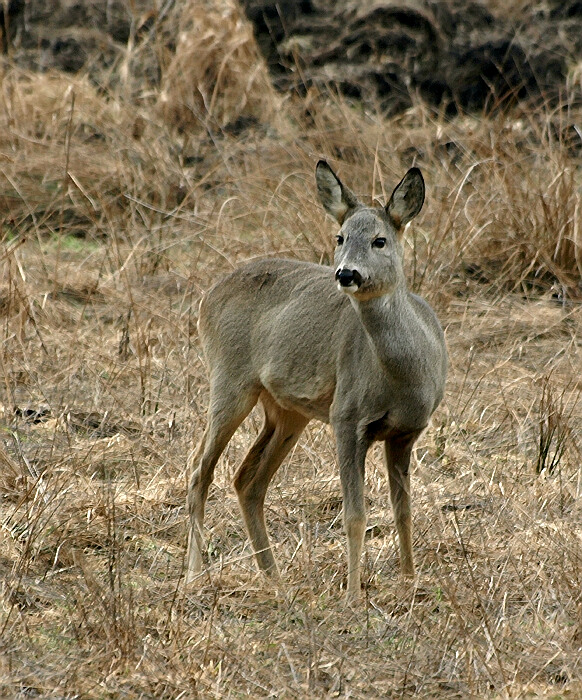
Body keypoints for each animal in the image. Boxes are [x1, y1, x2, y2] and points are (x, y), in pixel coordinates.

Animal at [186, 160, 448, 600]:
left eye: (379, 240)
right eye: (340, 237)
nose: (345, 274)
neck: (405, 378)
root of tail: (206, 297)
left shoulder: (407, 432)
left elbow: (404, 510)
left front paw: (410, 580)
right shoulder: (347, 416)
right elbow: (355, 515)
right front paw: (354, 596)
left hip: (288, 411)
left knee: (247, 479)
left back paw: (273, 576)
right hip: (229, 380)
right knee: (198, 469)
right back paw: (194, 573)